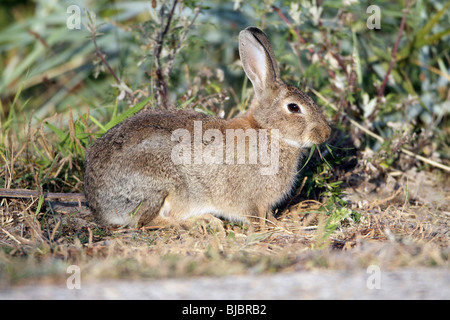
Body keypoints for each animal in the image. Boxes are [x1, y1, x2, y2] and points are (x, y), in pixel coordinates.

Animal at [84, 26, 330, 229]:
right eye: (294, 107)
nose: (326, 133)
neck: (268, 130)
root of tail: (98, 204)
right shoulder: (249, 198)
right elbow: (254, 215)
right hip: (160, 184)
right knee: (148, 221)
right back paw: (201, 221)